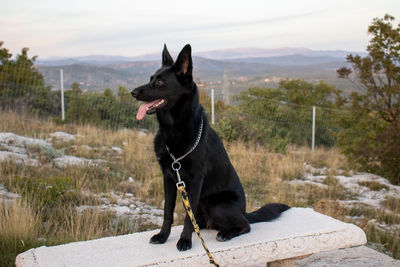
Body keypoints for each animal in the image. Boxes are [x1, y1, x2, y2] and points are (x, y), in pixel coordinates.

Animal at [132, 45, 290, 252]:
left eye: (159, 81)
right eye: (151, 78)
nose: (132, 92)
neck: (175, 128)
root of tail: (245, 212)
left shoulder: (195, 179)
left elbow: (187, 217)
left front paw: (185, 240)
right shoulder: (168, 177)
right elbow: (167, 211)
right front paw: (163, 236)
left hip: (216, 204)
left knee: (245, 225)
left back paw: (226, 233)